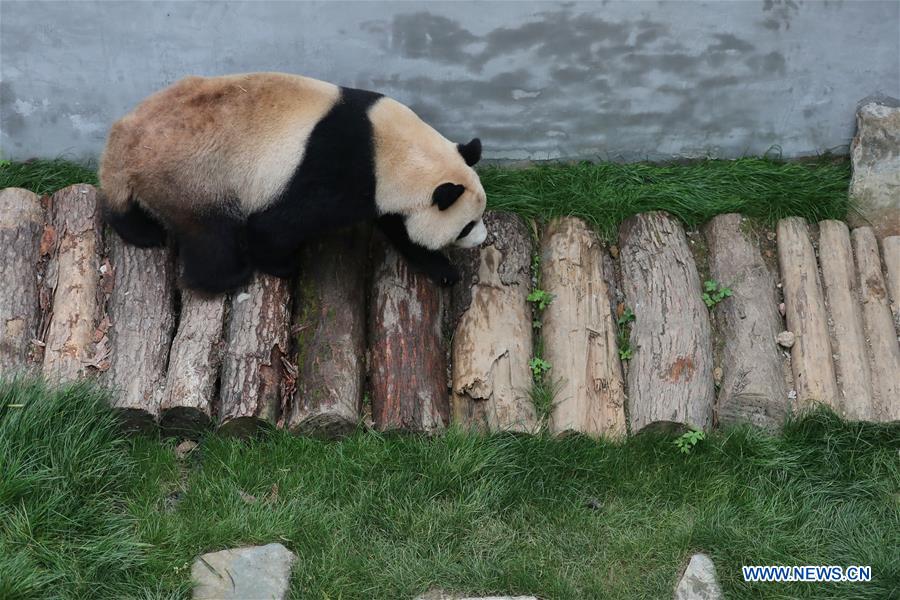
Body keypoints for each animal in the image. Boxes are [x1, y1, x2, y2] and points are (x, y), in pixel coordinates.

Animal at [97, 72, 486, 292]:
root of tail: (125, 142)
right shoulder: (334, 172)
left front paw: (442, 270)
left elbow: (399, 228)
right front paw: (283, 267)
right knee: (210, 233)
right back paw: (228, 278)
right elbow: (276, 225)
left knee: (125, 204)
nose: (482, 240)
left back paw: (141, 232)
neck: (393, 148)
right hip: (194, 175)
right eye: (467, 226)